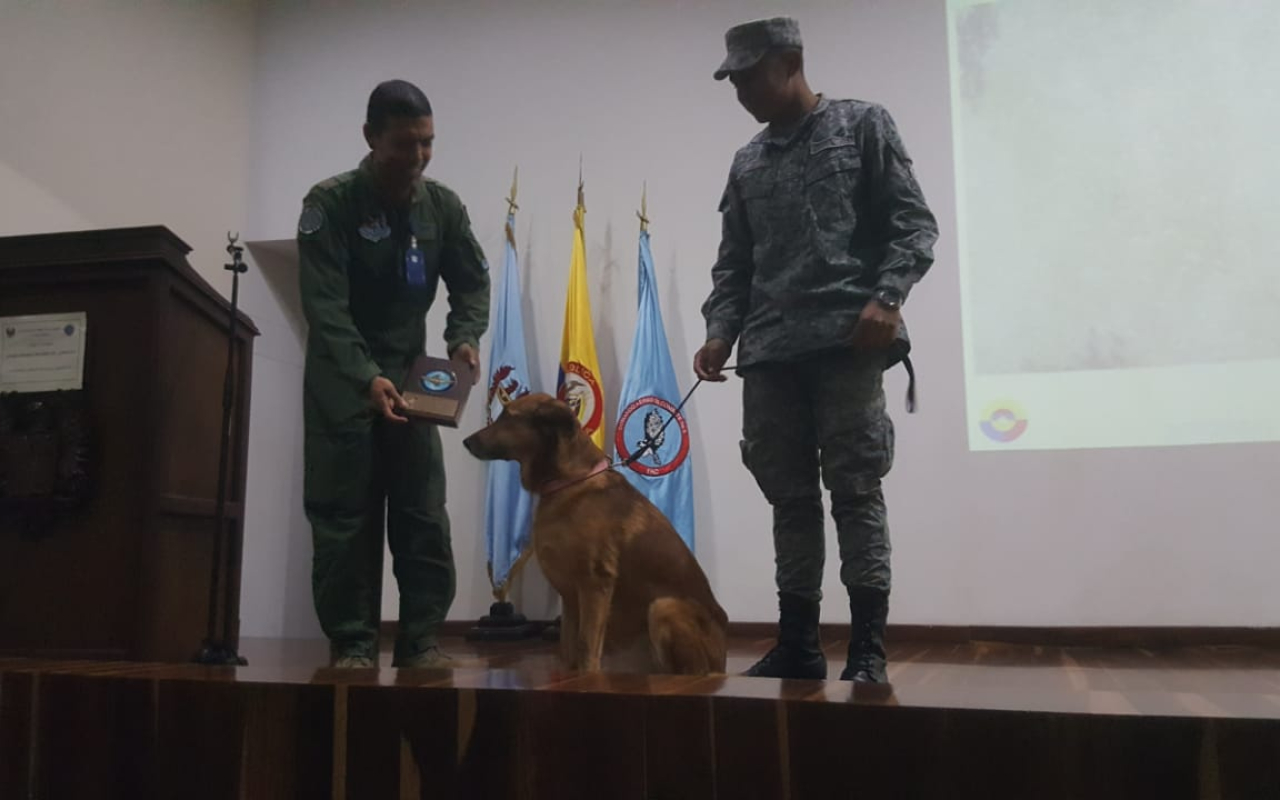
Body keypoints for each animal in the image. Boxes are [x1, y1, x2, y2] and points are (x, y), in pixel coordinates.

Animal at [463, 394, 727, 675]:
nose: (465, 441)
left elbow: (586, 645)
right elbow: (567, 648)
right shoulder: (569, 597)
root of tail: (721, 663)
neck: (568, 482)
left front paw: (588, 677)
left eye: (508, 417)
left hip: (664, 606)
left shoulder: (594, 584)